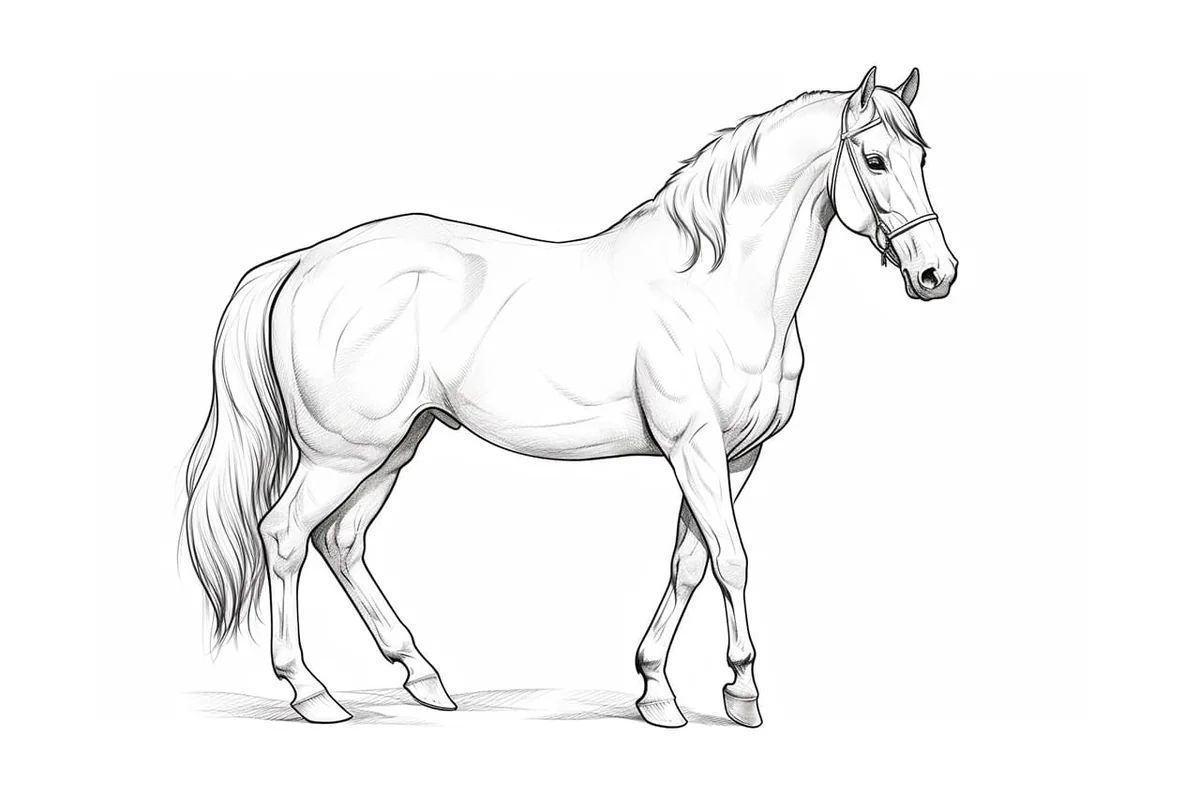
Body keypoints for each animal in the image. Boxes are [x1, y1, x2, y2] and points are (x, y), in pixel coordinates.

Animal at [182, 67, 958, 728]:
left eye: (921, 157)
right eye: (877, 160)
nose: (936, 274)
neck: (717, 287)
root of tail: (301, 264)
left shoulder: (735, 455)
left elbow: (690, 562)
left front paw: (656, 691)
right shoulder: (695, 446)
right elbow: (732, 558)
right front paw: (742, 692)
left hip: (393, 446)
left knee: (340, 541)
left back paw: (425, 680)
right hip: (341, 453)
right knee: (284, 537)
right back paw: (312, 694)